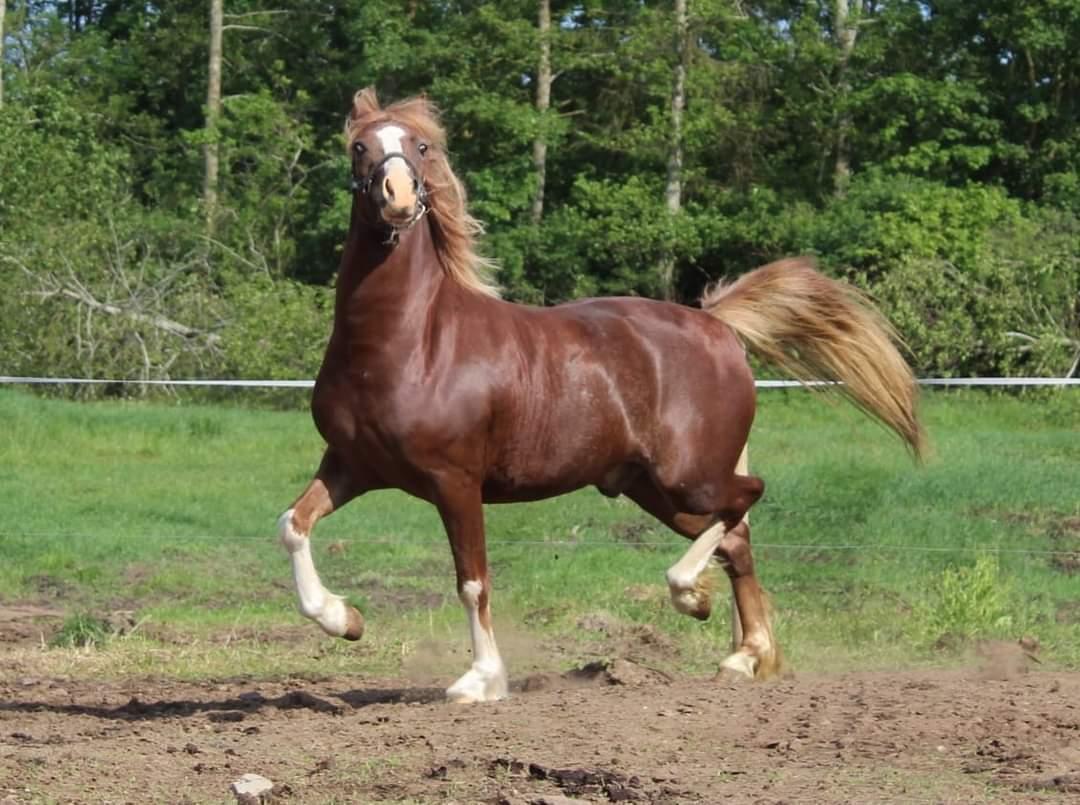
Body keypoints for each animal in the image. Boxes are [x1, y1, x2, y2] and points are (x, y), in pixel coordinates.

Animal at [277, 87, 925, 704]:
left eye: (420, 146)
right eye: (360, 147)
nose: (398, 196)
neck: (408, 343)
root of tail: (716, 324)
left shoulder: (455, 482)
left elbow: (472, 580)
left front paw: (481, 681)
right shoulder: (353, 465)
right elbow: (294, 524)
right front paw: (345, 619)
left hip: (688, 477)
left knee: (747, 500)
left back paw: (694, 600)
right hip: (651, 487)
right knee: (737, 538)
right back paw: (741, 655)